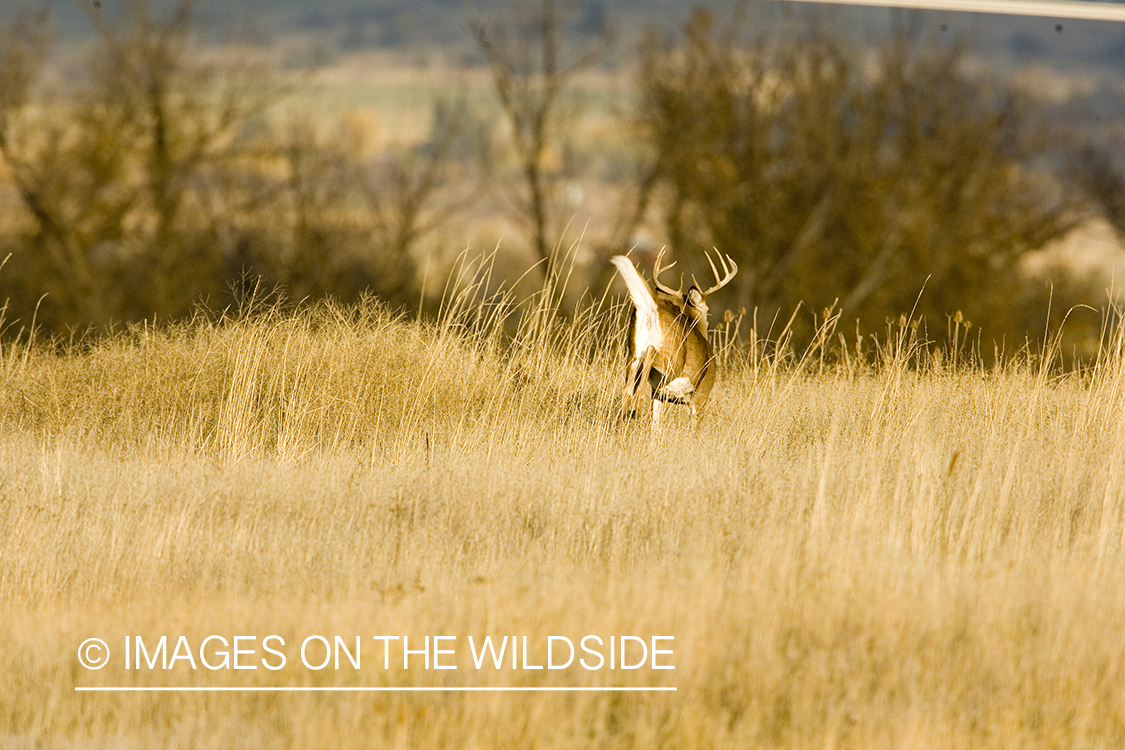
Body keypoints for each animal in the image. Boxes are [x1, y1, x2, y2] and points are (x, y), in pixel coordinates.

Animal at [616, 249, 738, 431]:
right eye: (707, 310)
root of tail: (651, 309)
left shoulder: (658, 394)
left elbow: (655, 425)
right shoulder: (702, 393)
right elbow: (695, 429)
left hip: (632, 352)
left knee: (627, 390)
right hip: (672, 358)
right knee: (650, 357)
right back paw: (635, 411)